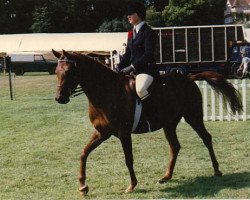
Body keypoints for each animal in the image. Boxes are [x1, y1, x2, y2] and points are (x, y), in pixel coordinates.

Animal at [51, 49, 242, 195]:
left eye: (69, 72)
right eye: (56, 72)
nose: (60, 98)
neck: (106, 92)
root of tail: (189, 78)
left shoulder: (123, 133)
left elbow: (128, 159)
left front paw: (131, 185)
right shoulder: (102, 132)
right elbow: (84, 153)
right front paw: (83, 186)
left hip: (193, 117)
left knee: (206, 138)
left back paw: (217, 170)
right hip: (169, 124)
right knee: (175, 146)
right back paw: (166, 177)